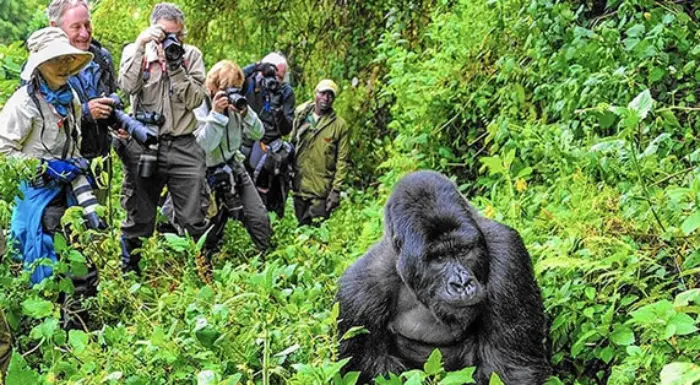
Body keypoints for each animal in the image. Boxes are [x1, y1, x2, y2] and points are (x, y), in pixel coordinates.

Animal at [336, 170, 548, 382]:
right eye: (439, 258)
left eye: (463, 250)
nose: (462, 284)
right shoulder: (357, 295)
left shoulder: (508, 253)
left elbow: (510, 369)